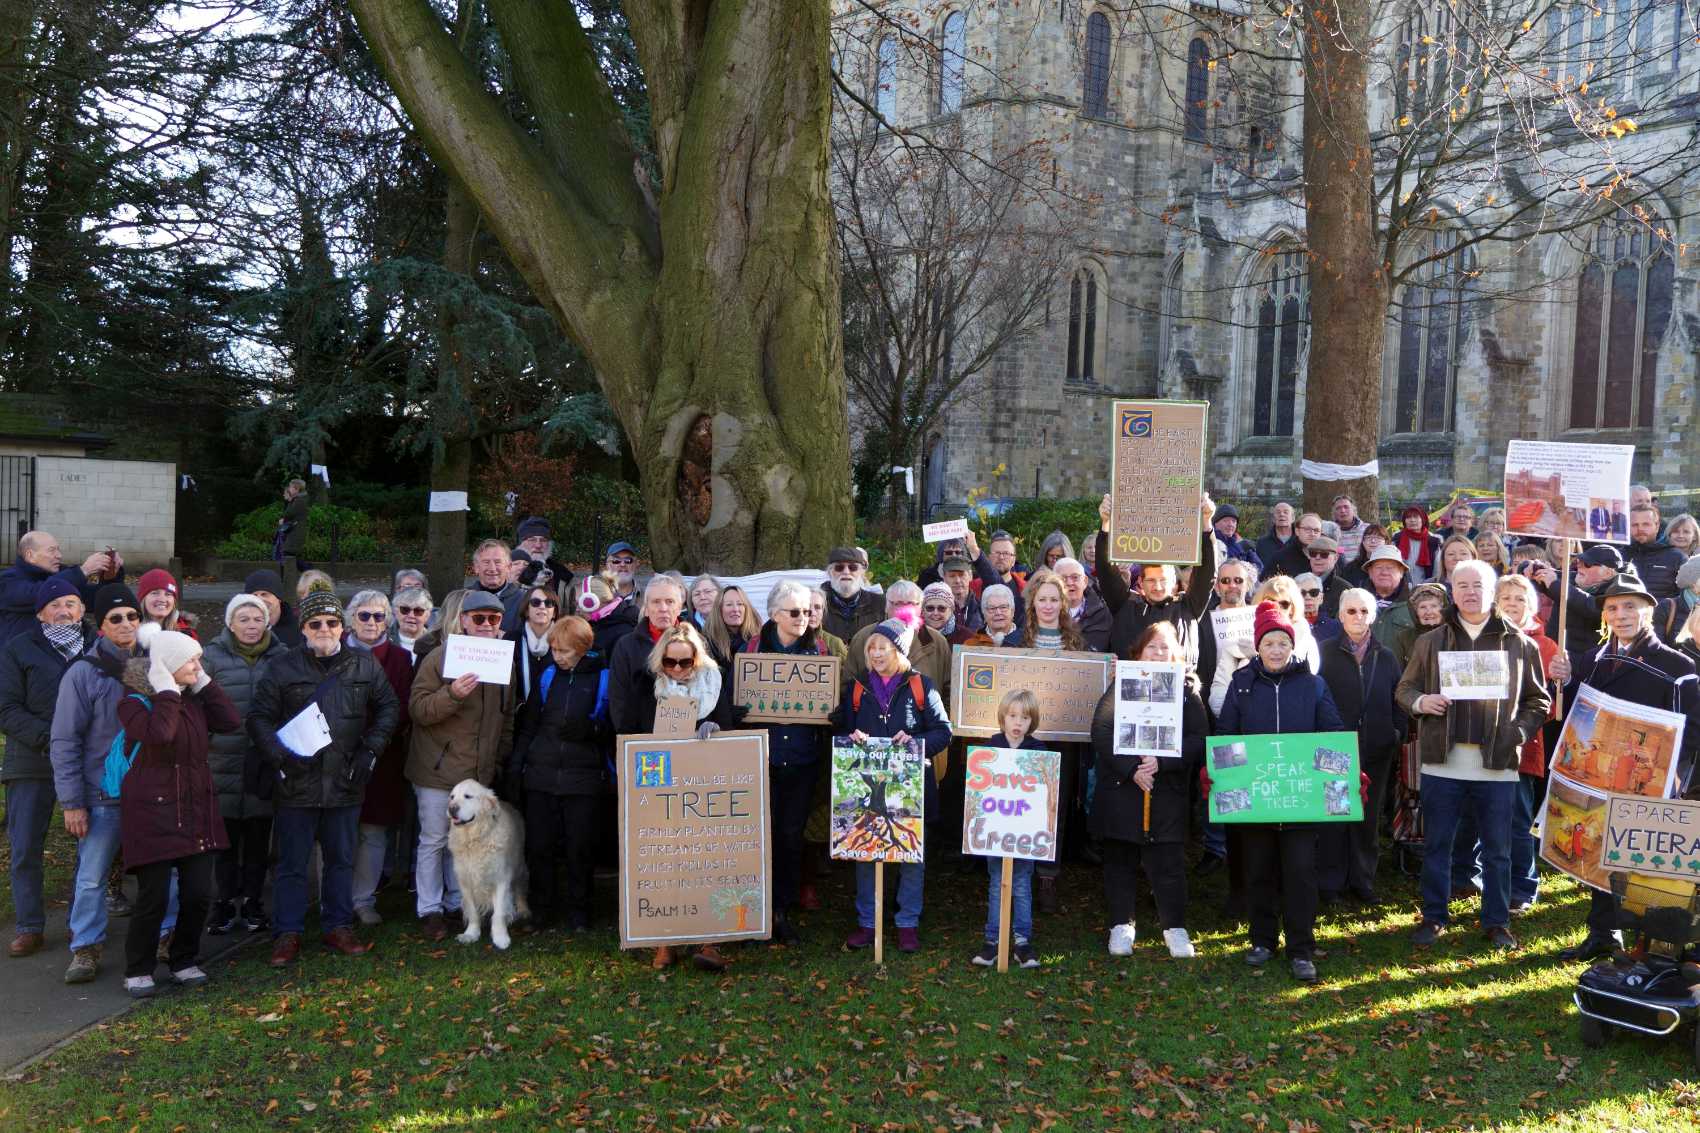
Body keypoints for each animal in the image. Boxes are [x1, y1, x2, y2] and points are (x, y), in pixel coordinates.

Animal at [442, 775, 527, 945]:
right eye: (452, 797)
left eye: (468, 796)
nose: (452, 808)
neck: (474, 839)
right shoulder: (465, 880)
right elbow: (473, 911)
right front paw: (471, 934)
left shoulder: (501, 878)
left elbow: (499, 912)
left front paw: (501, 938)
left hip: (519, 865)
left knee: (520, 887)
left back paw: (523, 910)